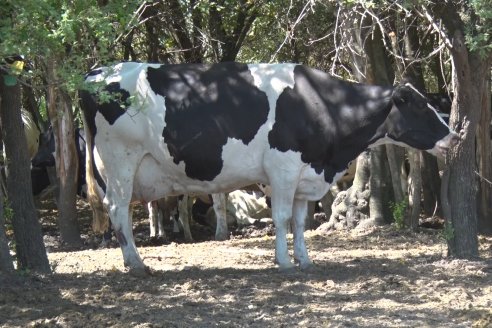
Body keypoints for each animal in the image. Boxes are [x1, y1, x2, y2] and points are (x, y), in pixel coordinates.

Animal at [79, 61, 460, 274]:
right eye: (421, 108)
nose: (453, 136)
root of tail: (95, 72)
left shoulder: (306, 174)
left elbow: (301, 221)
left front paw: (305, 260)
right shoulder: (283, 169)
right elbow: (281, 218)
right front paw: (284, 262)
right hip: (120, 160)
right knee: (118, 209)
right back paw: (135, 264)